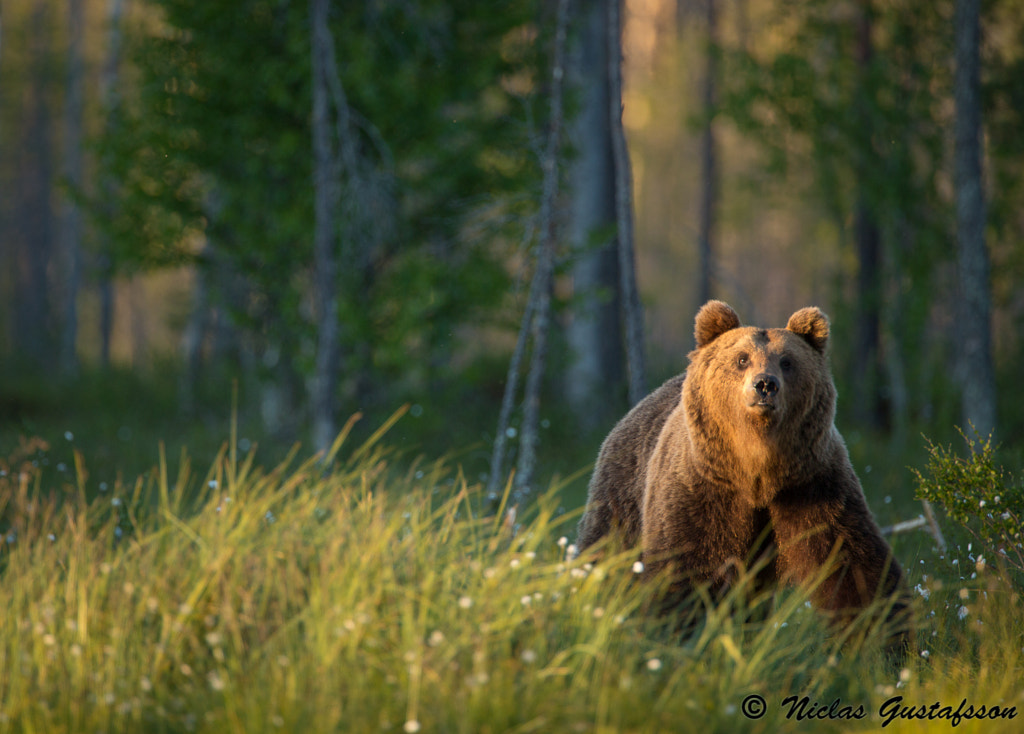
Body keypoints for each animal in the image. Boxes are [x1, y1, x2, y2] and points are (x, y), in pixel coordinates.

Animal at [575, 300, 911, 648]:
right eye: (741, 359)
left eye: (787, 361)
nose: (765, 384)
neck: (757, 472)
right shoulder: (703, 490)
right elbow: (682, 567)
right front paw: (671, 635)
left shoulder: (813, 486)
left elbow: (852, 565)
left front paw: (883, 641)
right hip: (622, 497)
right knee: (606, 554)